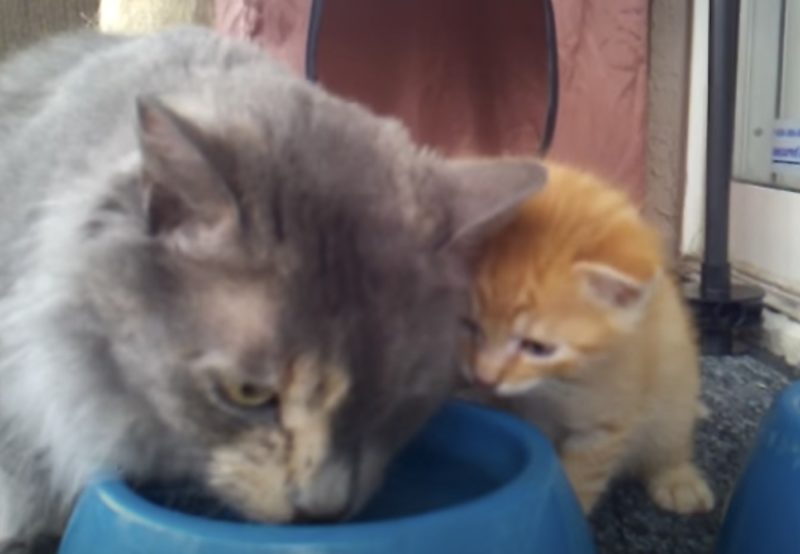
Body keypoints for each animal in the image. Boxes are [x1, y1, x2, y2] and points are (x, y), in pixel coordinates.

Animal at [461, 162, 714, 515]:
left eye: (538, 347)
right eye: (470, 325)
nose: (484, 378)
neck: (552, 386)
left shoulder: (604, 421)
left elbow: (580, 478)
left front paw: (570, 514)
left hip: (673, 391)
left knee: (671, 440)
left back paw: (677, 478)